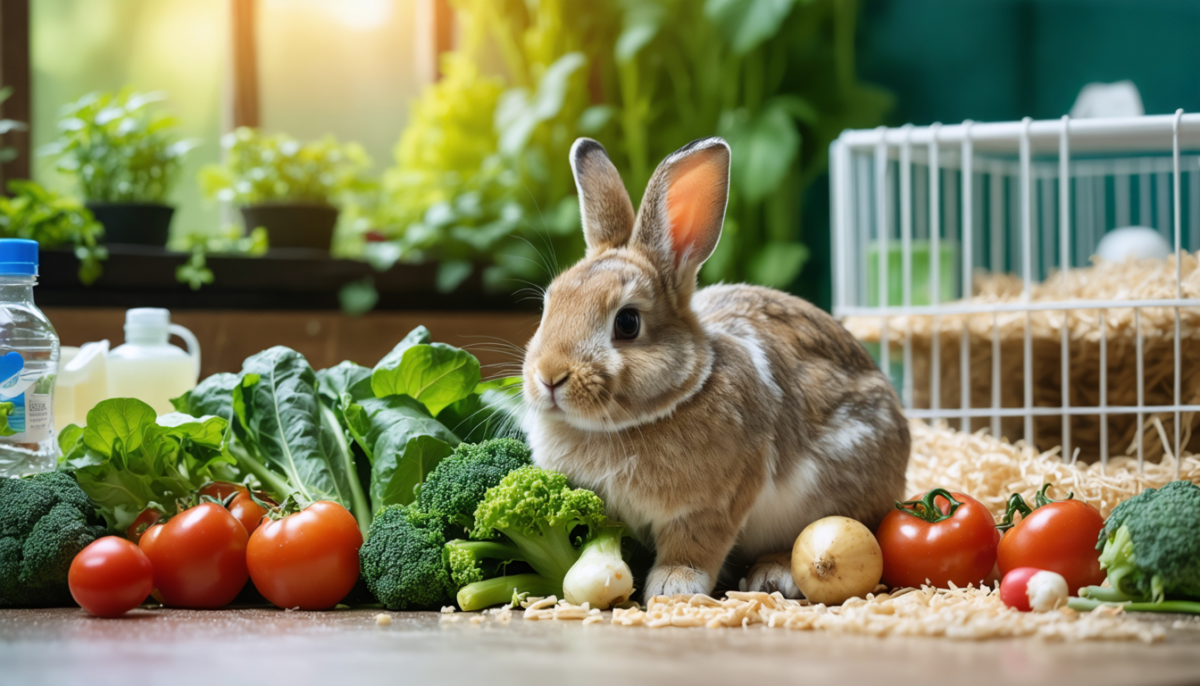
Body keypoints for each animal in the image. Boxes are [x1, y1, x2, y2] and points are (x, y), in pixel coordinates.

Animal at [522, 136, 910, 599]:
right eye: (548, 305)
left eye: (627, 323)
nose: (549, 376)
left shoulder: (712, 505)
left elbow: (694, 545)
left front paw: (673, 586)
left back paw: (774, 573)